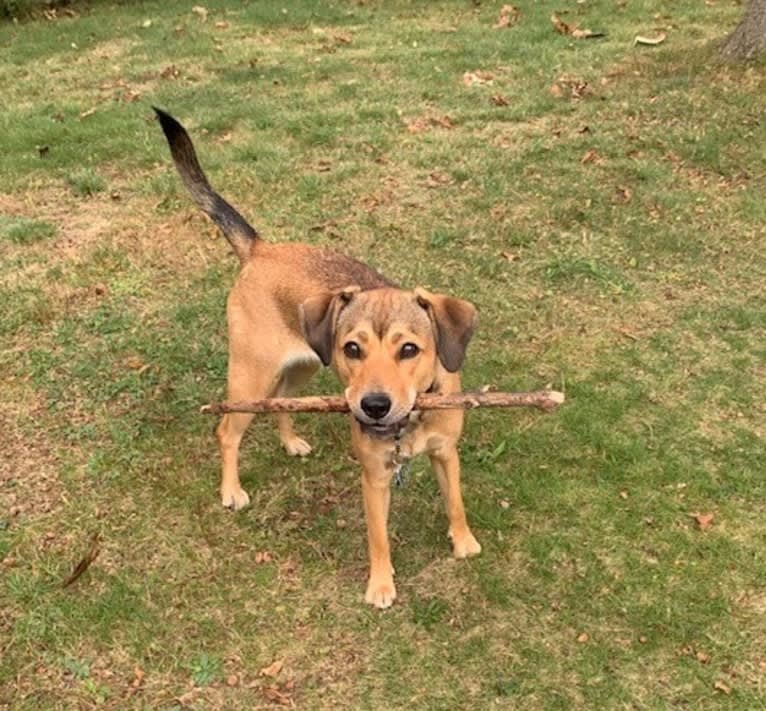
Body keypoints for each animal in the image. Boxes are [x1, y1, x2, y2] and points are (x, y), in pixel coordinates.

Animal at [154, 110, 484, 608]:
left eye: (410, 349)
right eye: (353, 348)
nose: (373, 406)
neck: (409, 422)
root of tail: (260, 248)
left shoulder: (446, 453)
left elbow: (456, 501)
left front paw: (463, 541)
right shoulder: (374, 478)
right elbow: (379, 538)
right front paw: (380, 585)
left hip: (303, 368)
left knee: (283, 404)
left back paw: (290, 442)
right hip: (251, 376)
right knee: (227, 431)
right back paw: (232, 490)